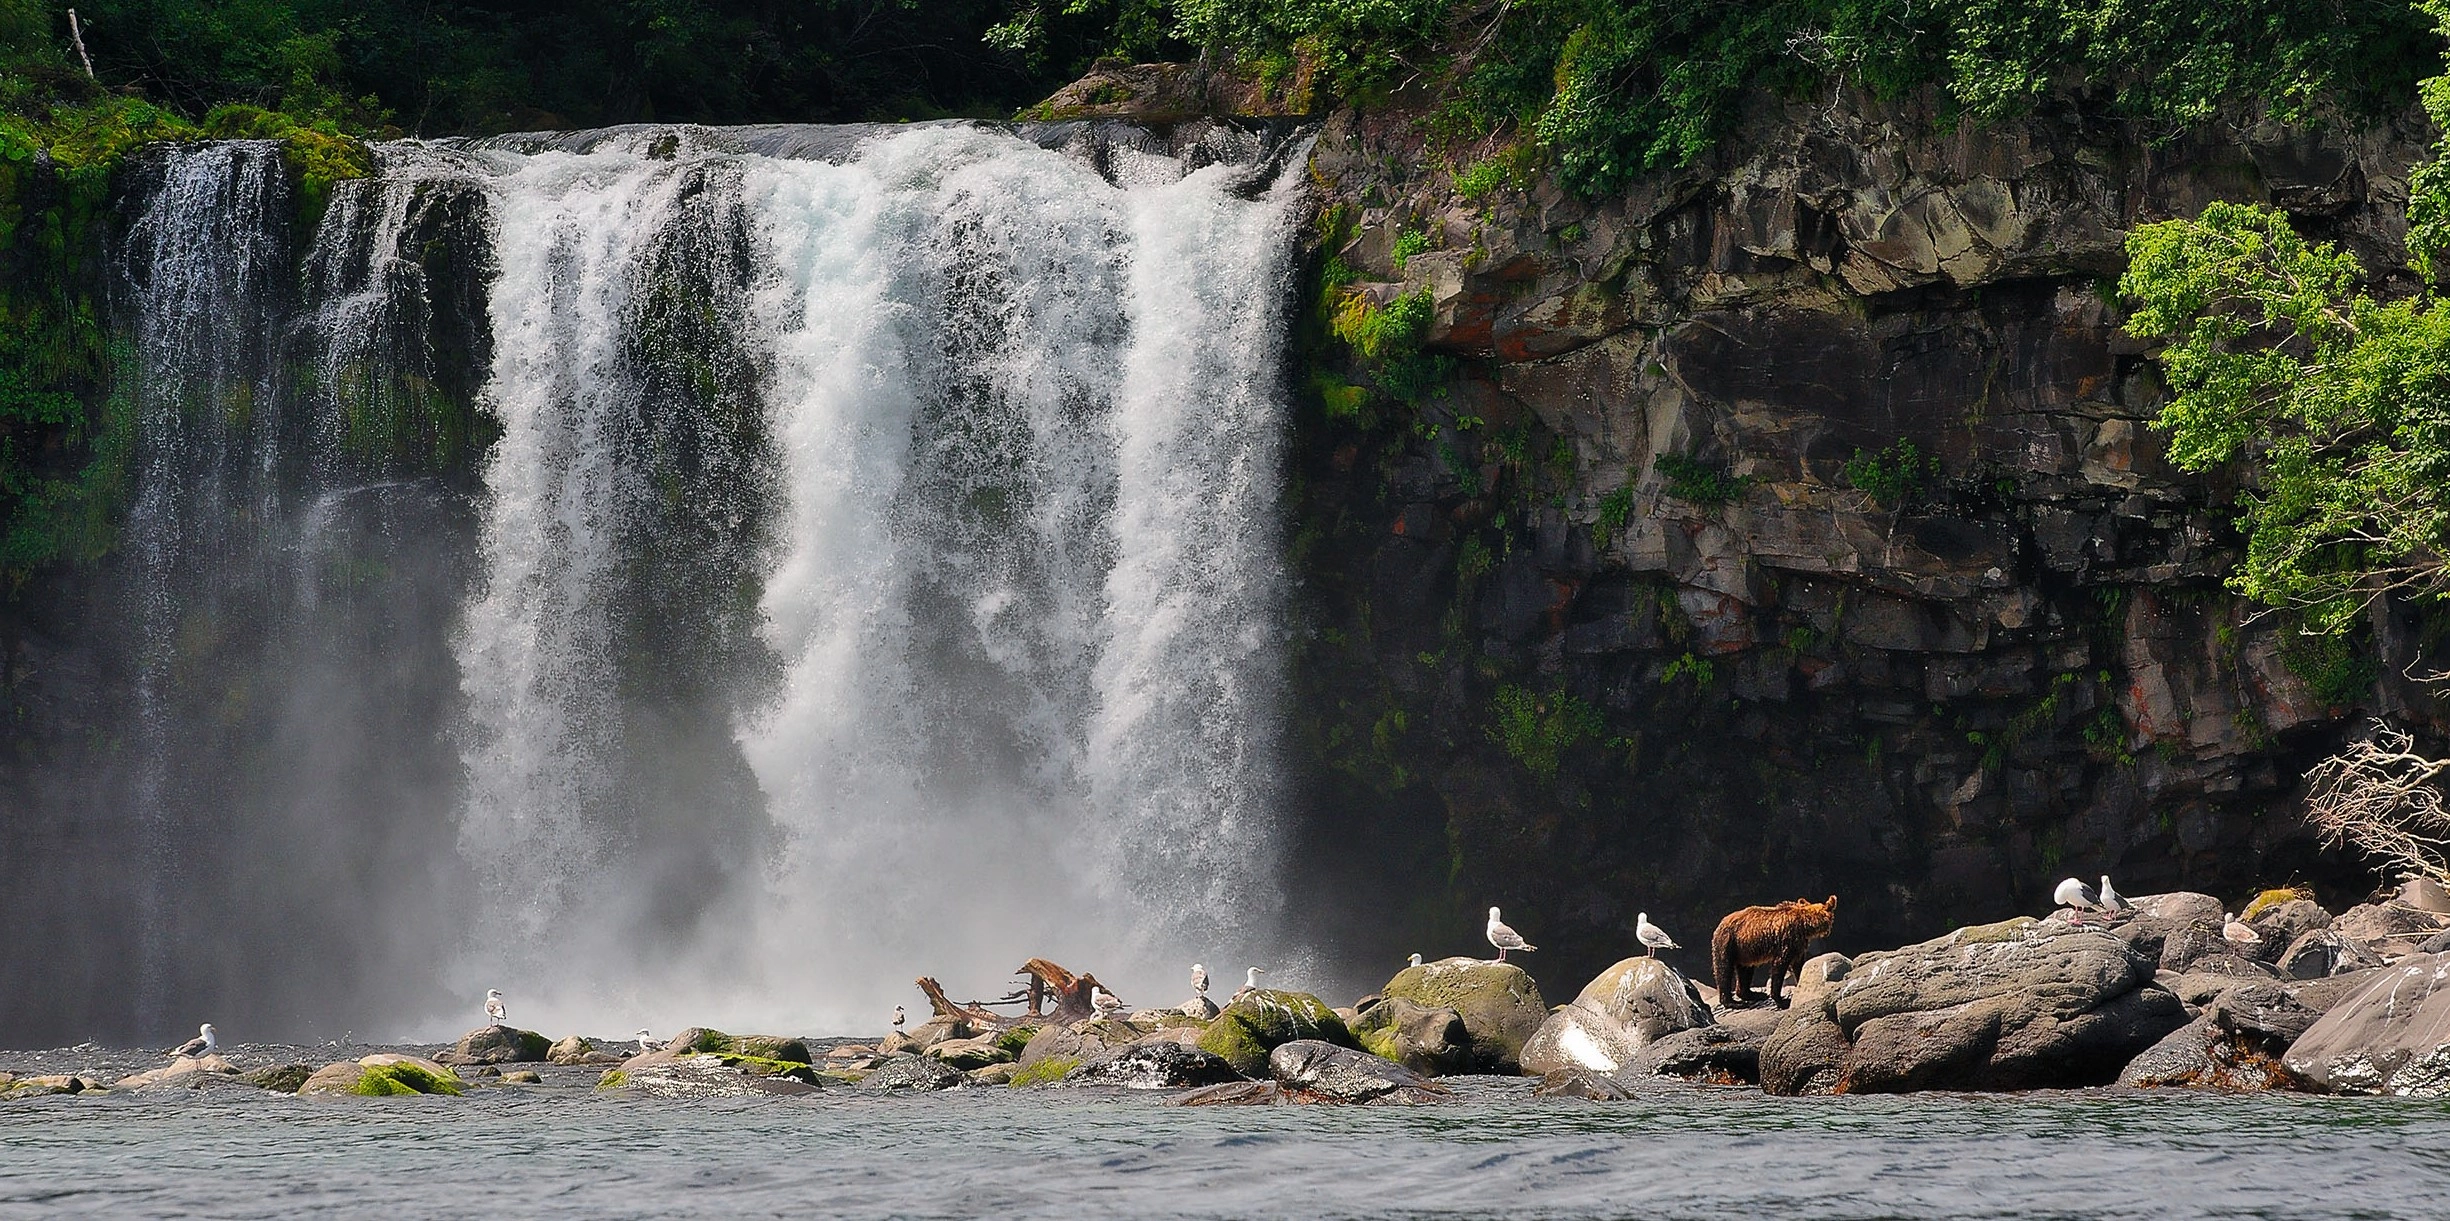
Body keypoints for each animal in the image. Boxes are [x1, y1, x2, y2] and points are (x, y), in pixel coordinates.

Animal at [1705, 897, 1842, 1010]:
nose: (1828, 932)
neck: (1805, 925)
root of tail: (1721, 923)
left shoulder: (1799, 945)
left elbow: (1799, 965)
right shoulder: (1788, 940)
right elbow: (1780, 966)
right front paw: (1782, 1000)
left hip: (1745, 950)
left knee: (1745, 970)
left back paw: (1754, 994)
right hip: (1727, 942)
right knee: (1724, 970)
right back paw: (1733, 1002)